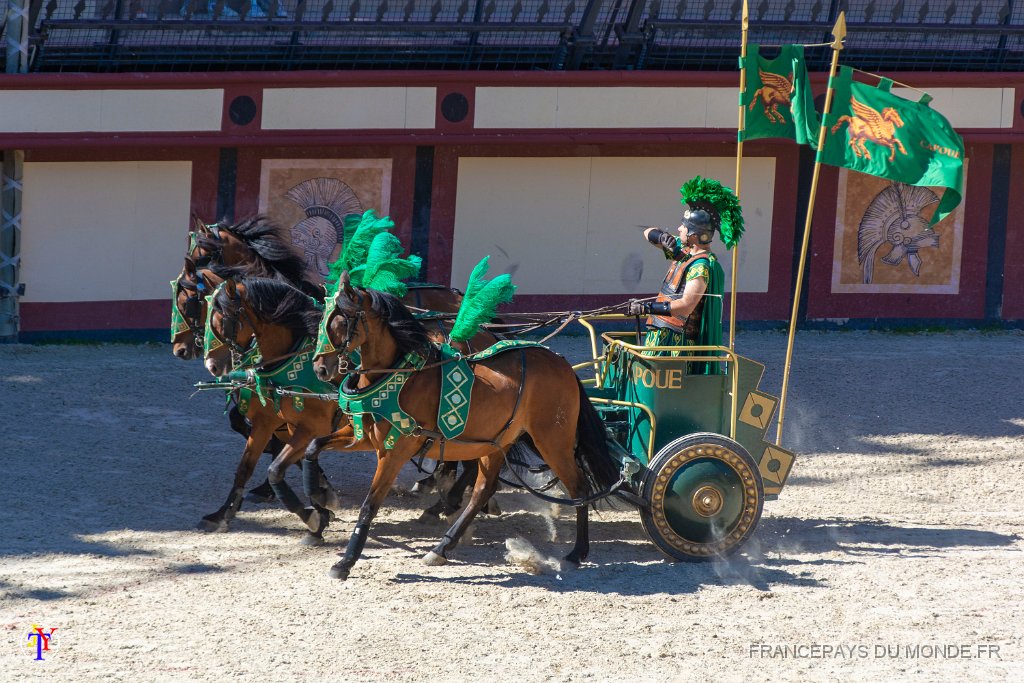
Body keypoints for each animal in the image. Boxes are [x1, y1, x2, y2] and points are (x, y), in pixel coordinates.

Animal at [203, 274, 356, 540]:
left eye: (223, 320)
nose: (211, 365)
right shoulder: (268, 423)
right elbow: (245, 468)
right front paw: (222, 514)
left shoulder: (311, 428)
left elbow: (276, 469)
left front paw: (315, 515)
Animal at [307, 274, 618, 581]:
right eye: (321, 321)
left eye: (342, 321)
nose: (320, 368)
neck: (400, 376)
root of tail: (562, 364)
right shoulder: (363, 437)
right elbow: (313, 447)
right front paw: (318, 501)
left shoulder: (395, 450)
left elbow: (369, 505)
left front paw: (345, 561)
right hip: (498, 442)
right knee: (483, 490)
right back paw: (442, 547)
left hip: (552, 440)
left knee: (578, 488)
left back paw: (577, 553)